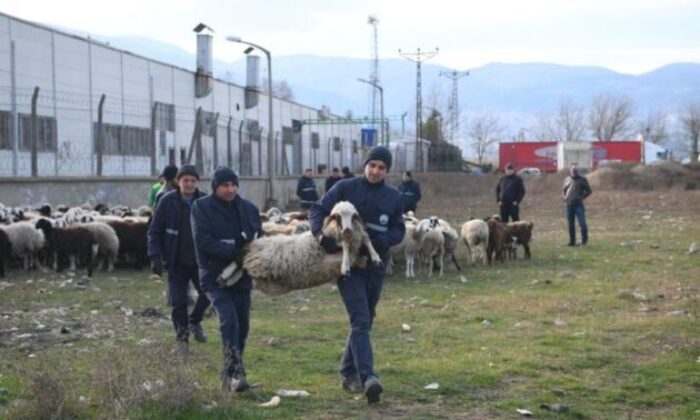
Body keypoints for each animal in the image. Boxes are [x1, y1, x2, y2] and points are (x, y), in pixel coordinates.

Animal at [224, 201, 380, 296]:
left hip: (256, 264)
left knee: (241, 264)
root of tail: (256, 242)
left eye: (354, 216)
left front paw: (374, 258)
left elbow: (365, 239)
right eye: (337, 217)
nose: (347, 230)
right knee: (240, 259)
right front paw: (345, 267)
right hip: (258, 257)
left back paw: (225, 279)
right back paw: (225, 275)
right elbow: (348, 247)